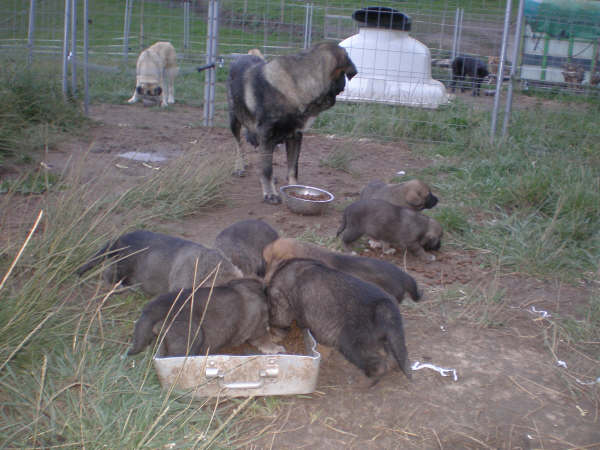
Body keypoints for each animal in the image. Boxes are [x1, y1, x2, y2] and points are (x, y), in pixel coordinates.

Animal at [225, 42, 356, 204]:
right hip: (234, 121)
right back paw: (239, 166)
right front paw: (270, 194)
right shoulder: (267, 136)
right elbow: (267, 169)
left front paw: (294, 189)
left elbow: (293, 168)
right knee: (239, 145)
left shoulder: (295, 137)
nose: (341, 91)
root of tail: (244, 56)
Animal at [268, 258, 412, 382]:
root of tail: (386, 307)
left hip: (351, 341)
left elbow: (283, 319)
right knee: (390, 354)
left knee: (375, 362)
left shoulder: (283, 303)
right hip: (382, 338)